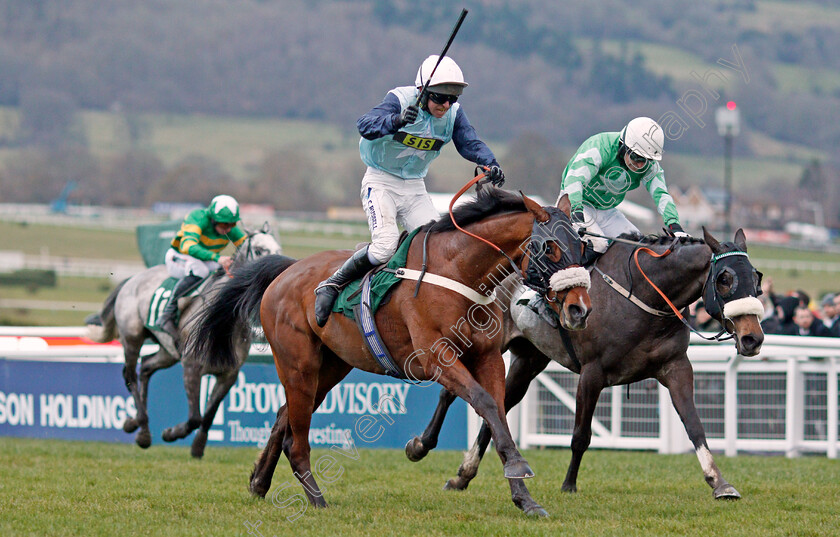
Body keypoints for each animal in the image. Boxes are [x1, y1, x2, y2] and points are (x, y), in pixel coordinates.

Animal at [85, 223, 288, 456]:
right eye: (260, 250)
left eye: (278, 248)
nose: (280, 275)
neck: (224, 320)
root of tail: (131, 280)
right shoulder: (192, 366)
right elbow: (195, 417)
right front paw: (171, 433)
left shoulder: (229, 373)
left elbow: (209, 415)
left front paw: (198, 446)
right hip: (132, 338)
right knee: (130, 375)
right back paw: (141, 428)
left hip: (168, 352)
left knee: (145, 367)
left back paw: (138, 424)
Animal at [189, 187, 592, 516]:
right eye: (551, 247)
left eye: (582, 247)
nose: (580, 309)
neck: (460, 272)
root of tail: (285, 272)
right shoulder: (436, 358)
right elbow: (486, 404)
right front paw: (510, 468)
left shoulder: (489, 358)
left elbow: (497, 415)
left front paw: (524, 497)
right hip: (298, 363)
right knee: (295, 438)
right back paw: (316, 499)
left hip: (330, 367)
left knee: (282, 417)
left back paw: (260, 482)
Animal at [406, 226, 768, 498]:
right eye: (724, 279)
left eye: (757, 278)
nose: (753, 338)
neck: (646, 298)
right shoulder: (593, 372)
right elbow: (581, 435)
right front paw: (569, 486)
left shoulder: (676, 367)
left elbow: (694, 425)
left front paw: (719, 482)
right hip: (477, 344)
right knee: (451, 393)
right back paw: (422, 445)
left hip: (529, 358)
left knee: (497, 409)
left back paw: (463, 475)